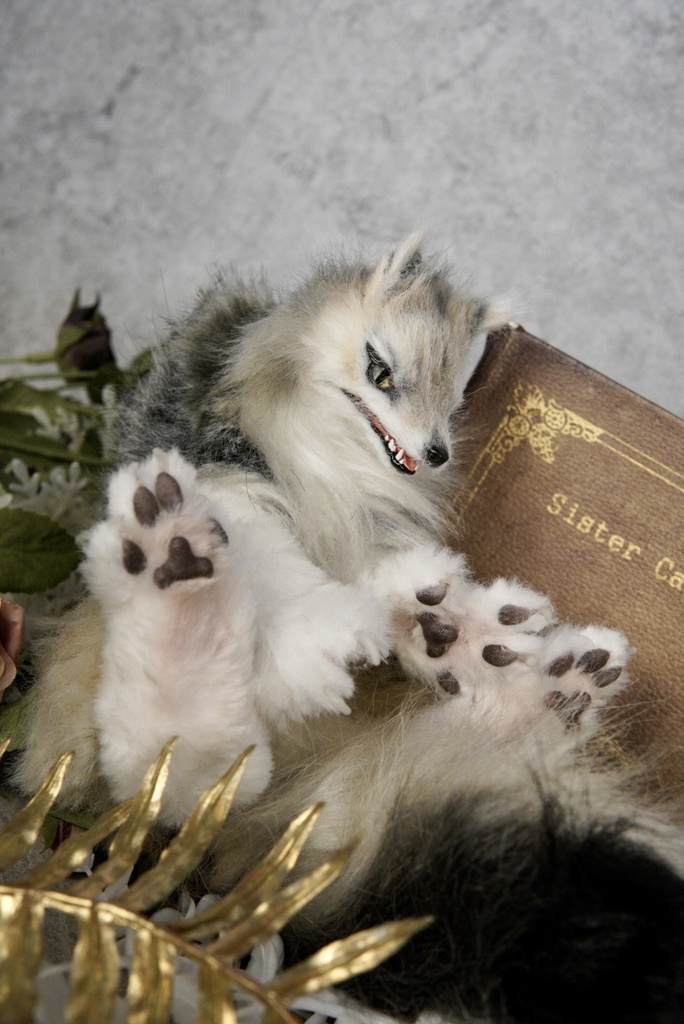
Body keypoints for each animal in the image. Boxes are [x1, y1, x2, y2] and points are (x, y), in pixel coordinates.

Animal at [15, 236, 684, 1022]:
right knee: (168, 766)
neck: (323, 445)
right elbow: (280, 569)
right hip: (110, 755)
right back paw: (178, 585)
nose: (436, 453)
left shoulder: (370, 531)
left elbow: (386, 580)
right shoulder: (231, 469)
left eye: (456, 393)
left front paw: (443, 624)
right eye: (379, 371)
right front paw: (339, 637)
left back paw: (537, 685)